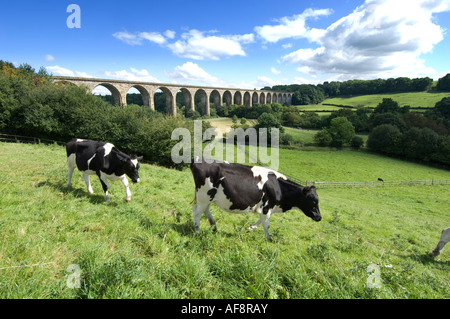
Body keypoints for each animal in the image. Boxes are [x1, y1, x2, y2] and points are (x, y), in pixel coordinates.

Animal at [189, 160, 320, 240]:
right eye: (312, 200)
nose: (319, 217)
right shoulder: (266, 207)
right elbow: (266, 224)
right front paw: (269, 239)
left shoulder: (267, 208)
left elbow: (261, 221)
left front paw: (250, 227)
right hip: (204, 196)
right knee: (197, 212)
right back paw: (198, 231)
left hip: (207, 198)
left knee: (205, 211)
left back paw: (214, 228)